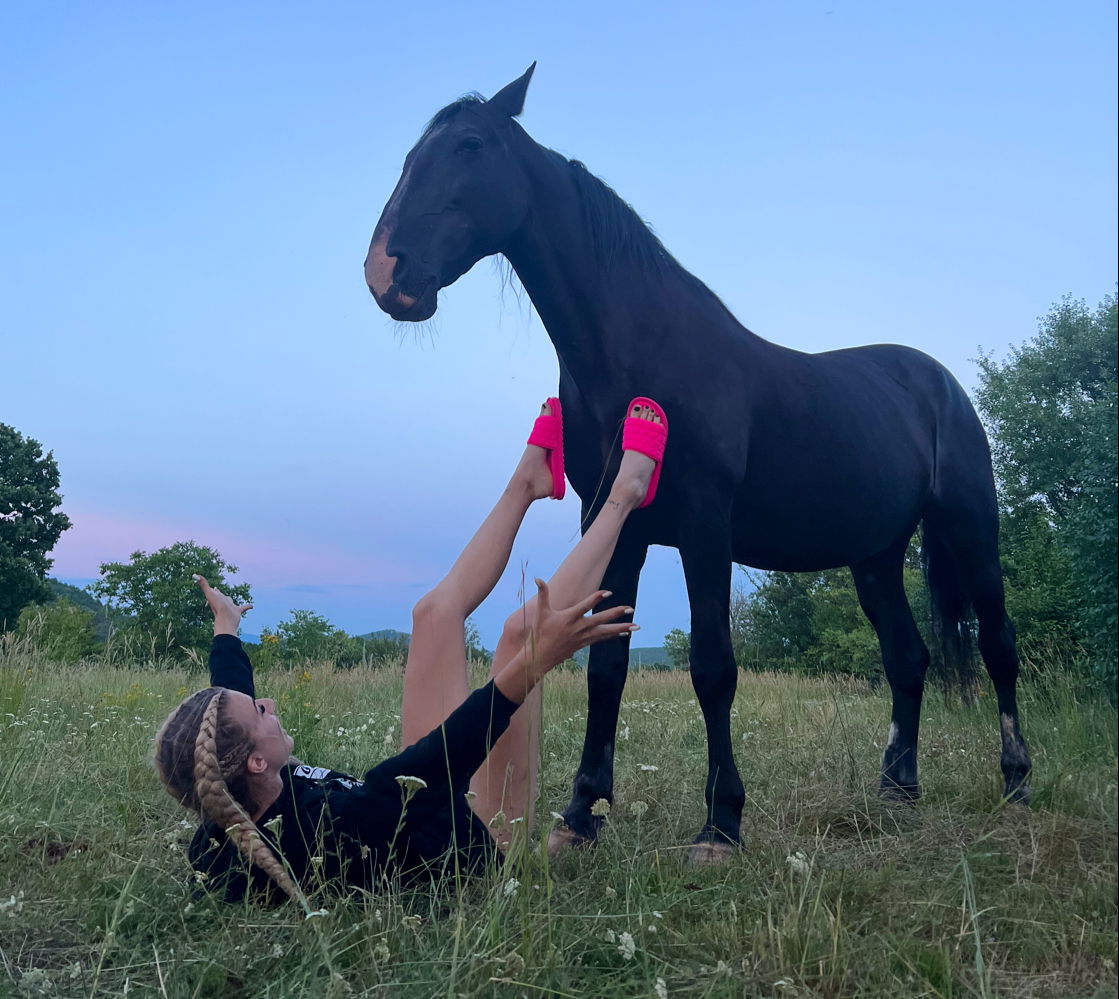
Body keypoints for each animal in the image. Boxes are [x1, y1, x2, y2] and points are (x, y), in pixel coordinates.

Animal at [364, 65, 1032, 862]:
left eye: (468, 145)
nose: (386, 273)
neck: (639, 356)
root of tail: (940, 384)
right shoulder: (615, 527)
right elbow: (607, 667)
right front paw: (580, 814)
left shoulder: (705, 531)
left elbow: (713, 667)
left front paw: (720, 824)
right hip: (874, 556)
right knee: (908, 656)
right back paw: (897, 788)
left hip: (970, 529)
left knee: (997, 646)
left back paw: (1016, 783)